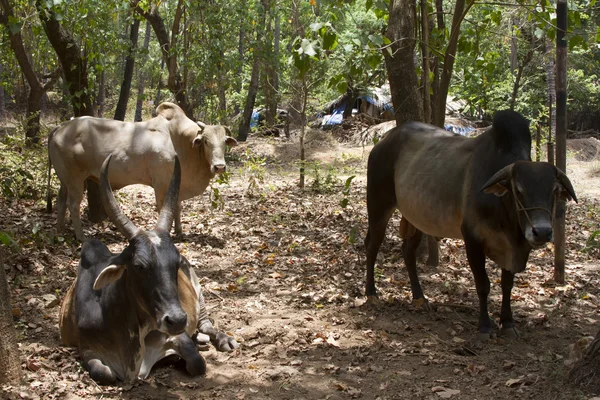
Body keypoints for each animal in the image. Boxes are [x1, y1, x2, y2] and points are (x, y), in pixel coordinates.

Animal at [45, 103, 238, 241]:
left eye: (224, 142)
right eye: (205, 141)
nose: (219, 166)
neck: (181, 141)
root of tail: (60, 127)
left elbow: (177, 207)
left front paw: (180, 231)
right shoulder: (161, 184)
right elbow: (164, 207)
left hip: (65, 180)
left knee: (60, 201)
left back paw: (60, 231)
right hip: (75, 179)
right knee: (73, 204)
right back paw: (81, 237)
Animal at [59, 154, 238, 384]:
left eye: (176, 262)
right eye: (138, 266)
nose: (177, 319)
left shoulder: (176, 336)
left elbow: (197, 363)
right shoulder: (87, 349)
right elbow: (105, 374)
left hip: (199, 294)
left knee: (206, 325)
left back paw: (223, 339)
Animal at [364, 111, 580, 340]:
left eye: (554, 190)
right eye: (518, 189)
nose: (543, 232)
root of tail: (385, 140)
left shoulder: (513, 247)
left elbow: (507, 284)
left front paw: (508, 322)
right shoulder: (473, 239)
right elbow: (483, 284)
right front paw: (484, 325)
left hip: (417, 217)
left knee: (408, 251)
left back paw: (419, 297)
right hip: (379, 205)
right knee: (372, 245)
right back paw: (371, 293)